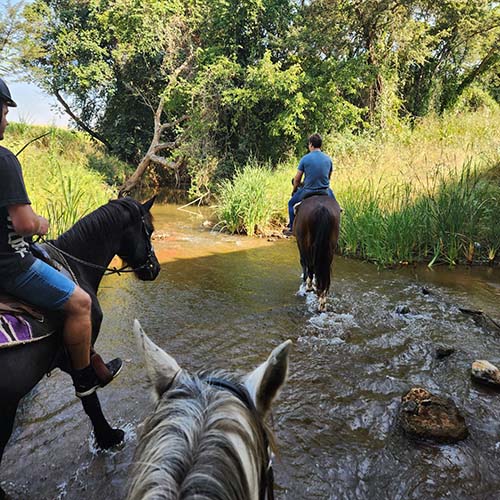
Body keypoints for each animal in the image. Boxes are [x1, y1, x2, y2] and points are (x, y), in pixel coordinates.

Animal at [0, 197, 159, 498]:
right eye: (150, 230)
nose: (155, 268)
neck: (76, 264)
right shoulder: (76, 352)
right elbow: (89, 397)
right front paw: (109, 437)